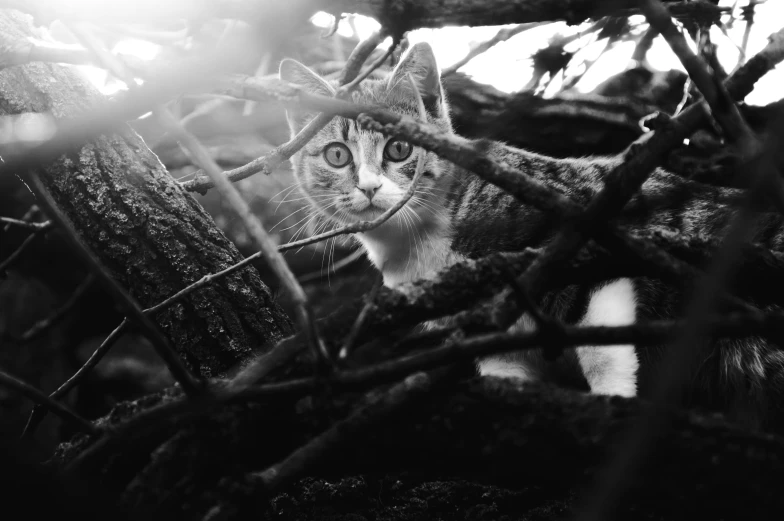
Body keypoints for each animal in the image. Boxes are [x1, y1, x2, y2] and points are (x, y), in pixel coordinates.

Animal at [278, 40, 784, 430]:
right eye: (338, 155)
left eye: (400, 148)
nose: (368, 187)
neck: (422, 241)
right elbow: (505, 375)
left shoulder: (592, 233)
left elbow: (601, 344)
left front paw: (615, 401)